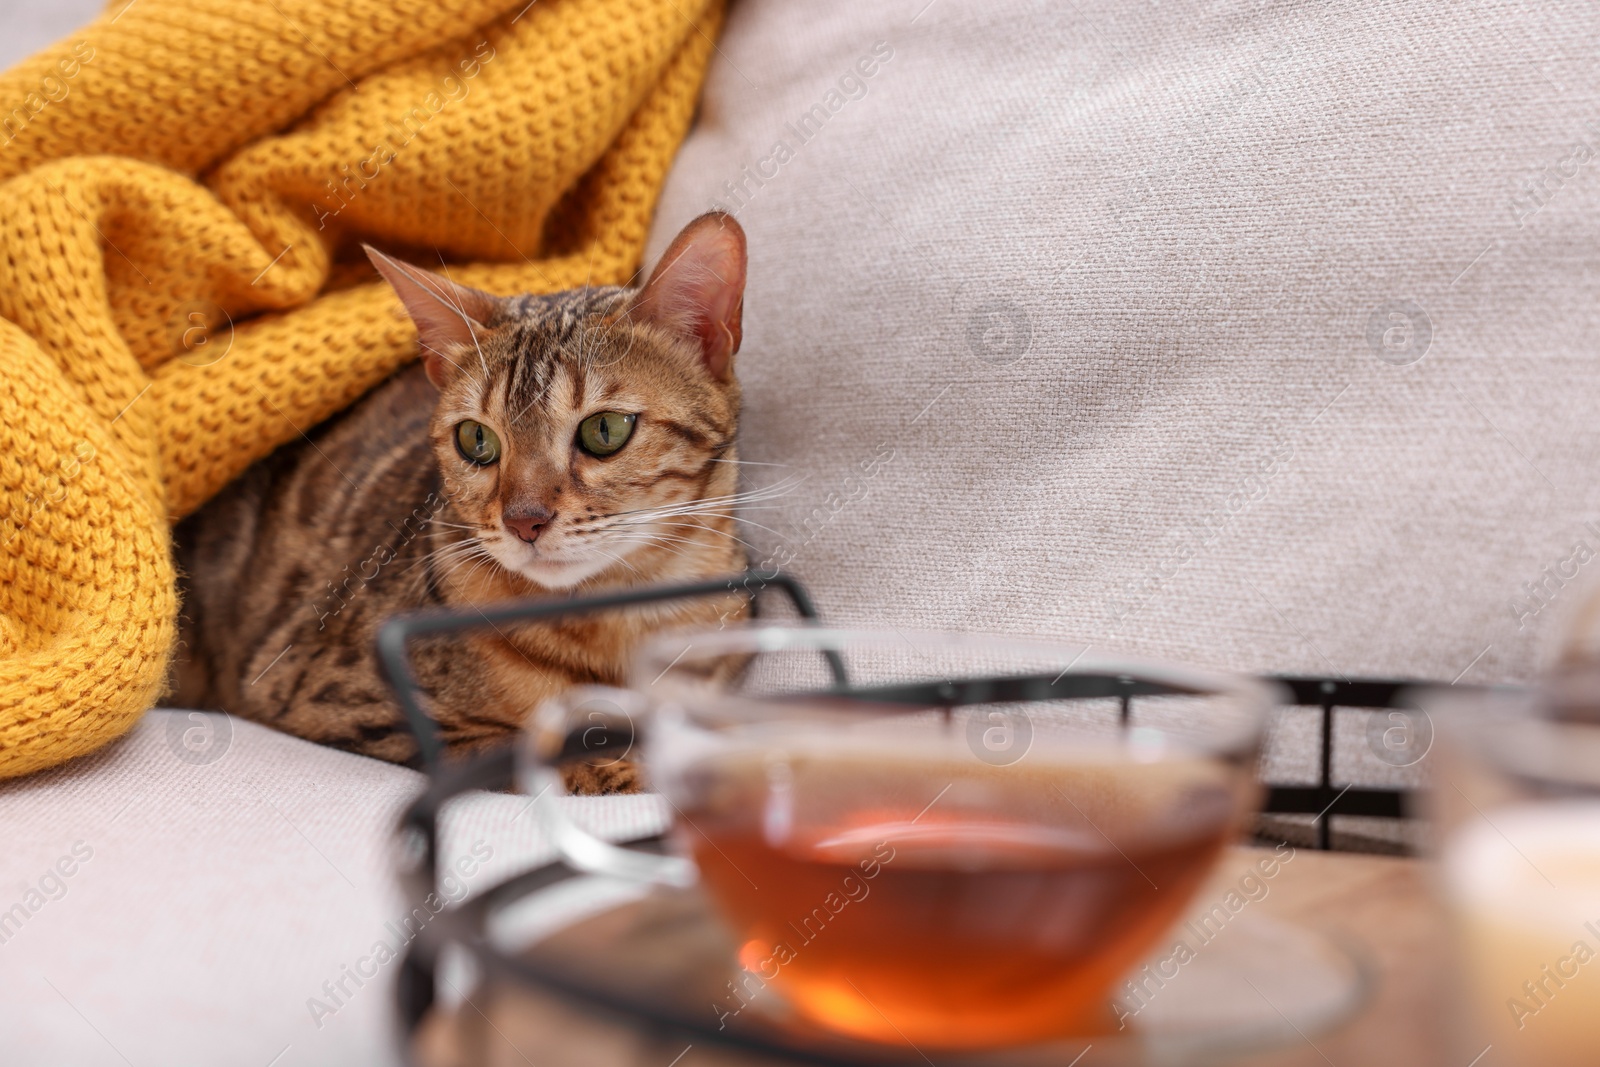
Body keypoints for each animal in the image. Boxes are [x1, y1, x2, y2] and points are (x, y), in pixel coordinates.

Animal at [172, 212, 752, 790]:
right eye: (476, 440)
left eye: (605, 429)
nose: (524, 522)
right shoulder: (321, 693)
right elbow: (534, 748)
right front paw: (613, 764)